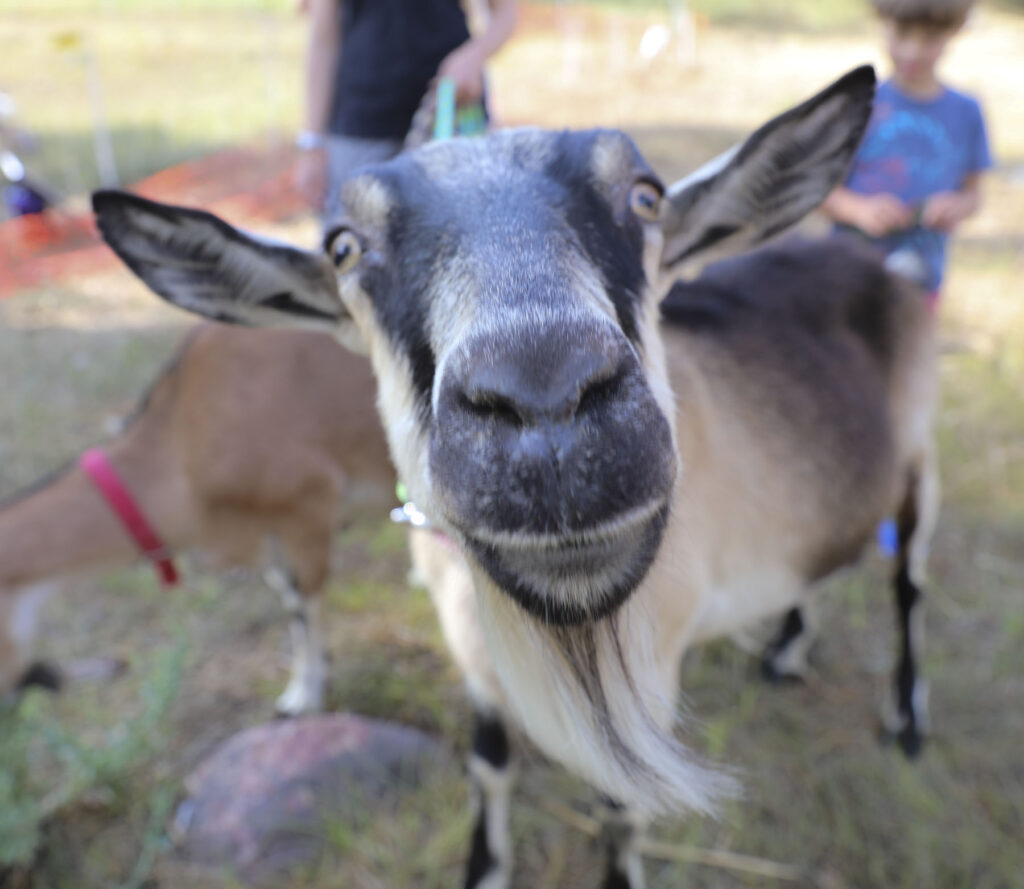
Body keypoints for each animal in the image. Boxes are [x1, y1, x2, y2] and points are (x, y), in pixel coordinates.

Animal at [0, 325, 396, 715]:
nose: (34, 682)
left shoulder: (308, 504)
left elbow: (305, 601)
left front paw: (303, 697)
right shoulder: (268, 533)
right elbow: (290, 599)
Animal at [91, 66, 939, 889]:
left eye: (645, 197)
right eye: (343, 247)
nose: (545, 393)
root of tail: (880, 261)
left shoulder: (655, 665)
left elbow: (620, 803)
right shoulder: (474, 661)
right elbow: (490, 767)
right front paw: (484, 867)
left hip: (922, 462)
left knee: (907, 584)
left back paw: (906, 720)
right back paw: (789, 652)